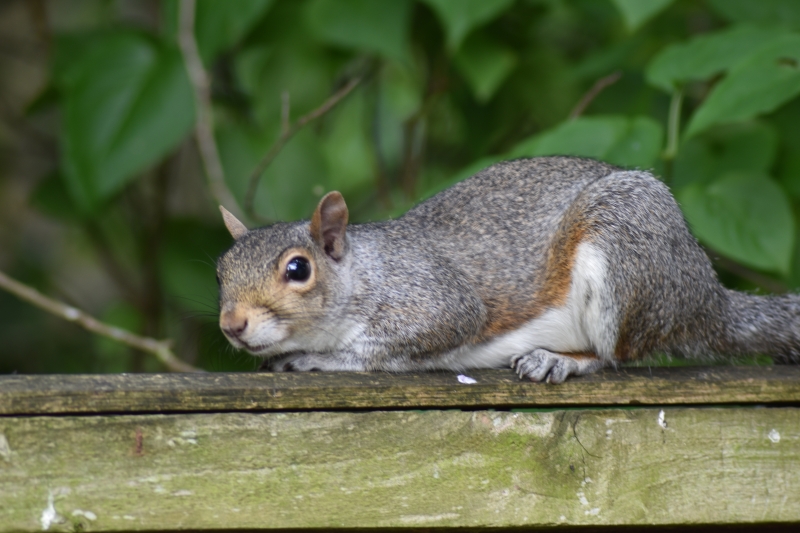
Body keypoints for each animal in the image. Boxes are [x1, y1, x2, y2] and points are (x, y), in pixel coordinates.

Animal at [214, 155, 800, 382]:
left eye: (298, 269)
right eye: (220, 270)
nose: (231, 324)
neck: (366, 273)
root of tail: (705, 297)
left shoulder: (431, 300)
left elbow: (389, 347)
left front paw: (315, 359)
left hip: (625, 253)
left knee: (616, 355)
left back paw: (560, 361)